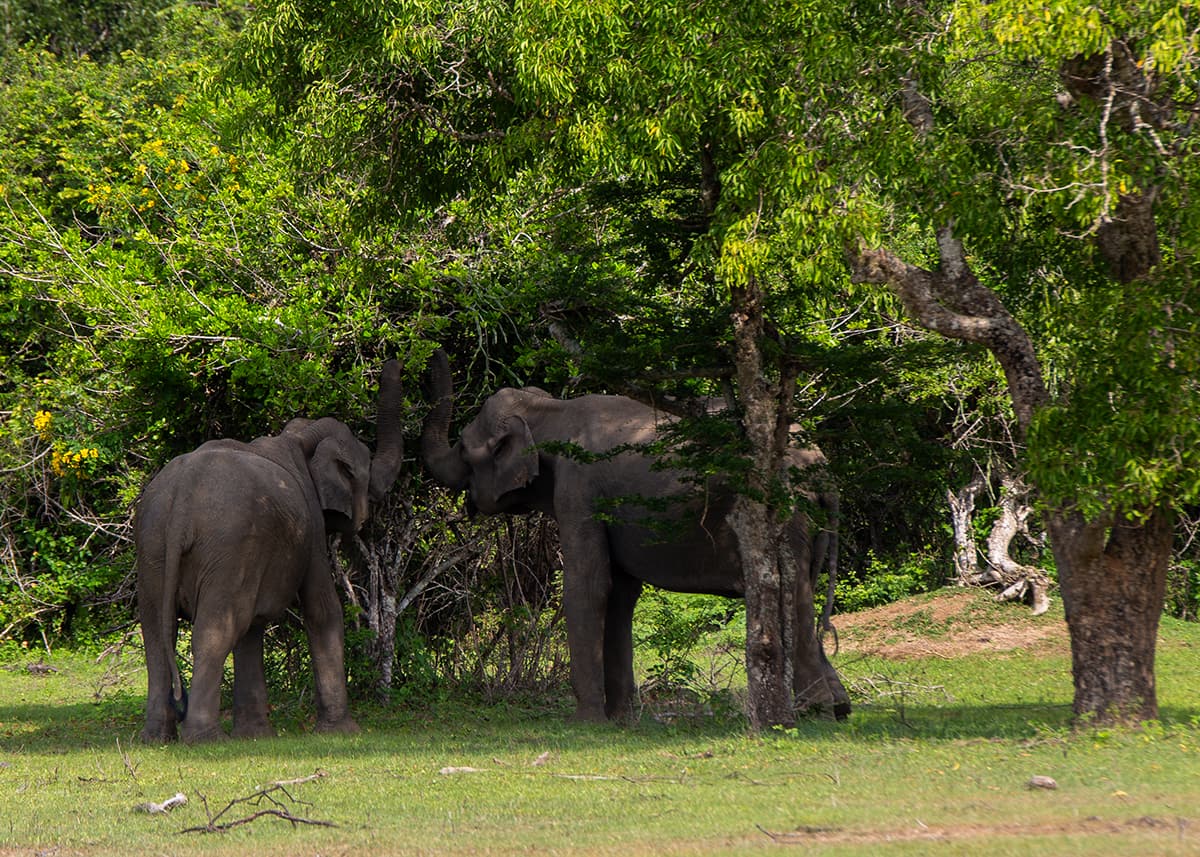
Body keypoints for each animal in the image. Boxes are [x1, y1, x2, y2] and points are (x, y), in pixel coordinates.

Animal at [135, 360, 404, 743]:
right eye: (364, 465)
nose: (393, 363)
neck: (298, 438)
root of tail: (182, 501)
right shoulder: (309, 528)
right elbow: (322, 609)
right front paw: (342, 731)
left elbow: (253, 629)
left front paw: (255, 736)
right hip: (226, 547)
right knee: (215, 631)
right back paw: (205, 739)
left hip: (153, 546)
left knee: (158, 634)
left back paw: (157, 738)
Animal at [420, 350, 850, 723]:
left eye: (464, 448)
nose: (434, 352)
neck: (551, 410)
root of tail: (824, 467)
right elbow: (622, 594)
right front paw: (621, 719)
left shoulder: (579, 488)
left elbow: (589, 586)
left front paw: (587, 722)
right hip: (809, 522)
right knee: (805, 590)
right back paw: (839, 709)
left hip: (788, 508)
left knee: (791, 591)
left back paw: (817, 711)